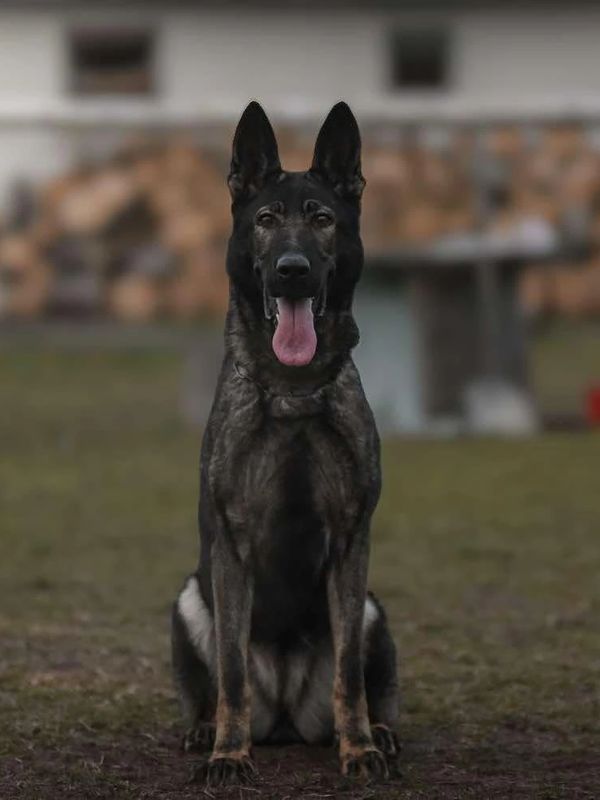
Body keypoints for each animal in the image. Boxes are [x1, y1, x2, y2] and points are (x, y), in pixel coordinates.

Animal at [171, 101, 399, 786]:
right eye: (267, 220)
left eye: (322, 219)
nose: (291, 271)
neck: (294, 389)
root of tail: (287, 717)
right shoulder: (230, 549)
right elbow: (232, 671)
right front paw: (228, 753)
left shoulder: (352, 546)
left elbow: (349, 673)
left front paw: (358, 750)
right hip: (189, 601)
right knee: (218, 685)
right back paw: (206, 731)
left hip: (374, 609)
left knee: (368, 684)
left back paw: (378, 731)